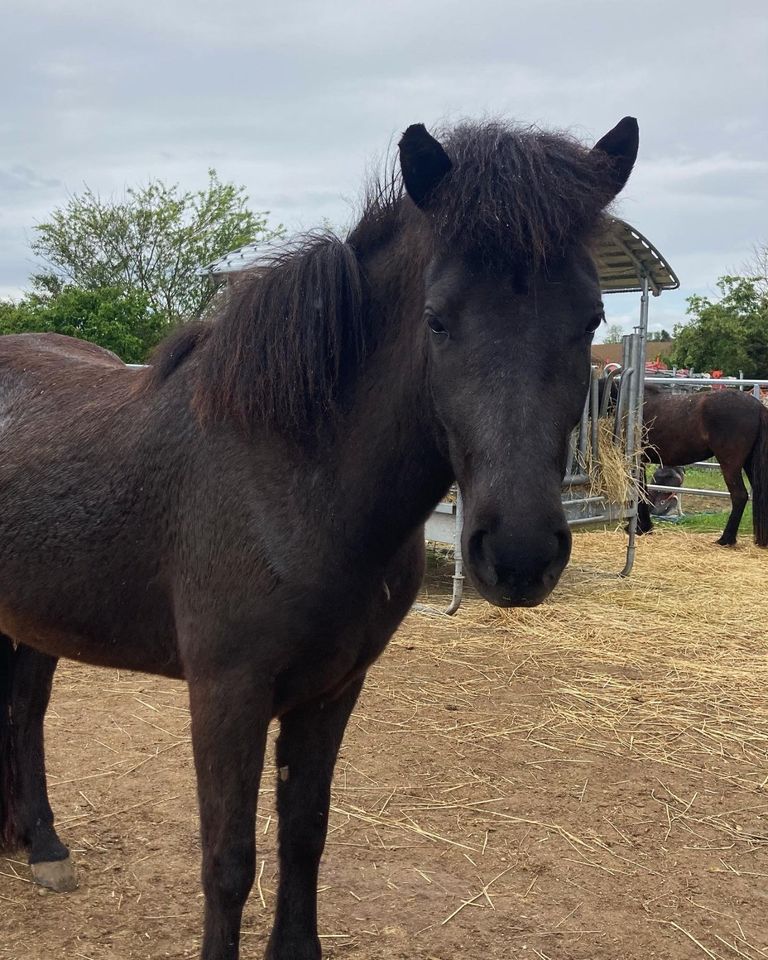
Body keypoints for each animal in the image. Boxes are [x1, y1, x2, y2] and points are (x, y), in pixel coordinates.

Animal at [0, 116, 636, 956]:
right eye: (437, 318)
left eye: (590, 318)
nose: (520, 555)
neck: (296, 476)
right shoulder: (226, 693)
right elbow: (229, 861)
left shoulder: (334, 687)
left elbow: (305, 832)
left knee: (24, 710)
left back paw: (40, 843)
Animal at [636, 384, 768, 548]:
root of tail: (758, 406)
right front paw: (644, 528)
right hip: (749, 464)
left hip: (730, 464)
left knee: (739, 495)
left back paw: (726, 539)